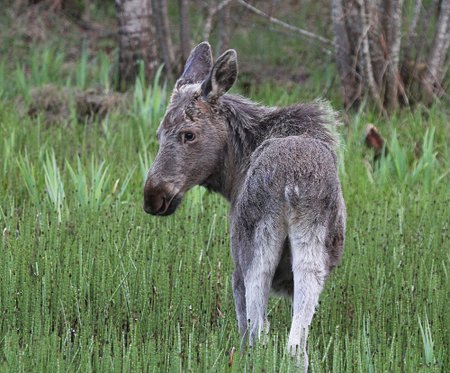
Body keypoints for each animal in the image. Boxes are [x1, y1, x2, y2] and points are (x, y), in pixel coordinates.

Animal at [142, 41, 346, 370]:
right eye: (159, 134)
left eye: (188, 134)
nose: (153, 196)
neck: (233, 173)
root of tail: (291, 184)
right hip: (313, 251)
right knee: (296, 345)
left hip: (252, 248)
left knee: (258, 334)